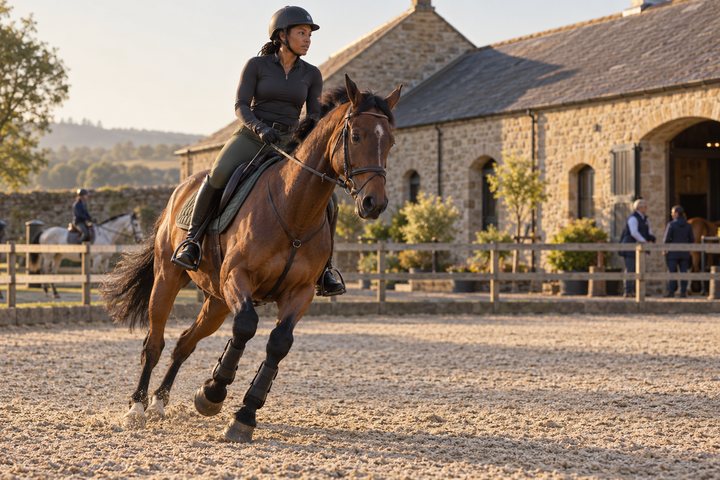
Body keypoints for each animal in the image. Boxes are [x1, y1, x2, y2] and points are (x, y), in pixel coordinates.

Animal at [101, 75, 402, 442]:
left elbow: (279, 343)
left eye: (390, 142)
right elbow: (245, 327)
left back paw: (159, 402)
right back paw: (138, 407)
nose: (375, 203)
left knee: (185, 343)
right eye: (356, 136)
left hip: (216, 301)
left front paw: (243, 414)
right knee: (154, 342)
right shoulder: (238, 277)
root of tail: (181, 189)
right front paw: (212, 392)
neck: (294, 209)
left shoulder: (300, 292)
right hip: (168, 279)